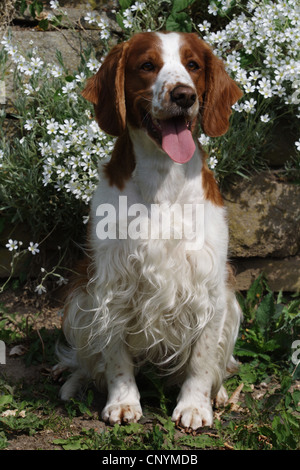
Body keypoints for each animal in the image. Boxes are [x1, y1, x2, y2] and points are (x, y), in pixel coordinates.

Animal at [56, 32, 244, 430]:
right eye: (147, 65)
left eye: (193, 65)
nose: (183, 95)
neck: (162, 175)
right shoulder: (112, 282)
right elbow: (114, 356)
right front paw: (123, 401)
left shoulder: (212, 286)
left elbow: (202, 358)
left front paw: (195, 406)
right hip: (78, 300)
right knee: (86, 358)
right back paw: (75, 383)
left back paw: (219, 393)